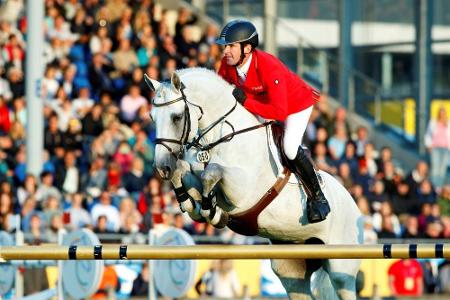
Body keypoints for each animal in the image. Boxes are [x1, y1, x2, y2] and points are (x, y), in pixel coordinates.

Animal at [146, 68, 364, 300]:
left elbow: (212, 172)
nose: (162, 167)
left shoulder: (242, 192)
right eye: (152, 117)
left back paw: (319, 206)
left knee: (343, 281)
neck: (222, 136)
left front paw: (211, 210)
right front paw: (193, 203)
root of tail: (355, 206)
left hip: (341, 267)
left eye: (177, 117)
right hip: (291, 266)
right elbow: (184, 171)